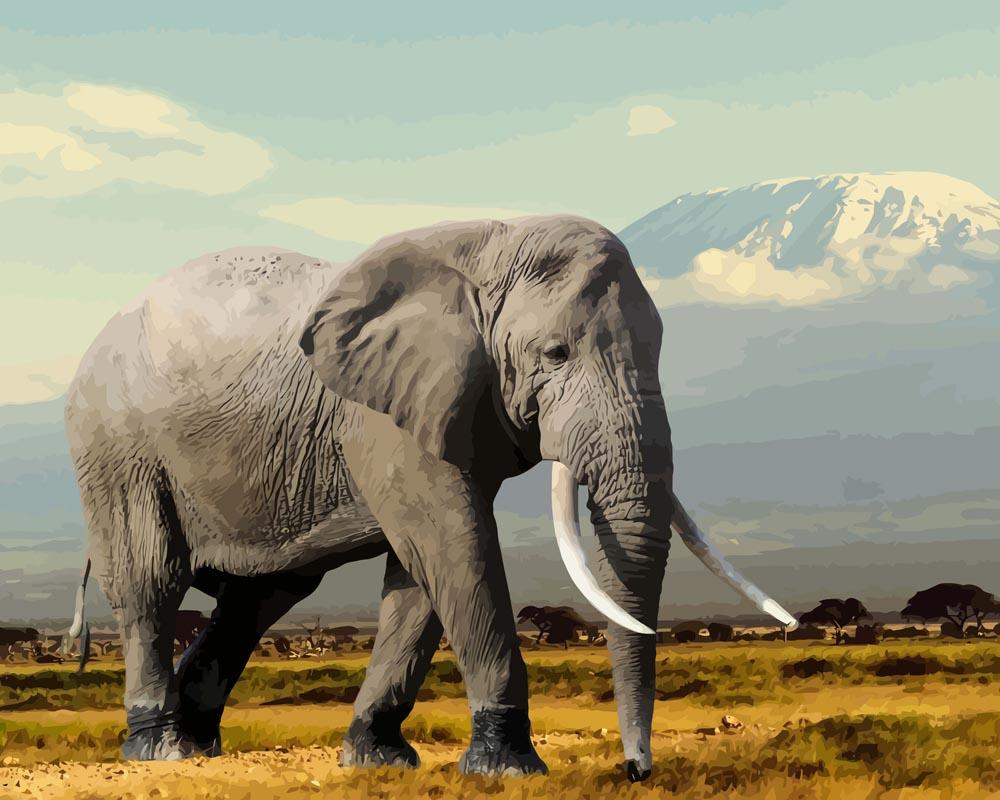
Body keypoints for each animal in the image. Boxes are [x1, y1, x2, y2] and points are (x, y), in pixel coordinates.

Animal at [64, 215, 795, 780]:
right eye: (555, 353)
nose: (635, 770)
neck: (492, 244)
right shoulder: (384, 413)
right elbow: (451, 540)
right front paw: (507, 769)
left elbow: (421, 574)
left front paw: (377, 759)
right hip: (116, 448)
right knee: (151, 583)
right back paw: (159, 750)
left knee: (261, 596)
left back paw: (196, 743)